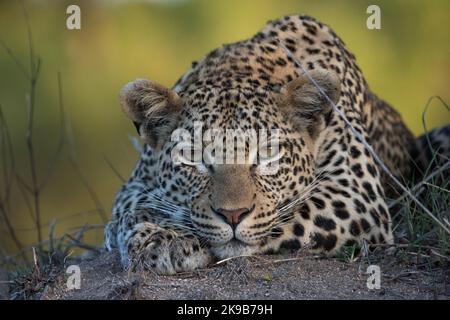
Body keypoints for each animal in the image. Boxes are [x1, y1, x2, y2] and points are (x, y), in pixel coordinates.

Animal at [104, 15, 446, 276]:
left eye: (268, 154)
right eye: (193, 157)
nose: (233, 215)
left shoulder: (354, 193)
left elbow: (286, 216)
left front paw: (169, 238)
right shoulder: (135, 182)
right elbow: (132, 206)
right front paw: (155, 235)